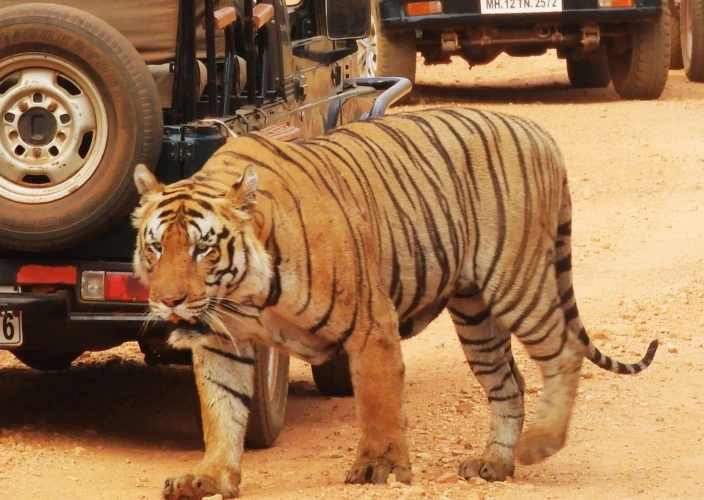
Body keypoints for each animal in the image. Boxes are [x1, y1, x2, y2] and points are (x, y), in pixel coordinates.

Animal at [131, 107, 659, 500]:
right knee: (510, 381)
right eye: (156, 247)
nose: (169, 300)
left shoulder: (370, 322)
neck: (244, 297)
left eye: (202, 248)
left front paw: (379, 469)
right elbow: (221, 409)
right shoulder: (222, 341)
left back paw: (540, 445)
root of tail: (539, 133)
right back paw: (495, 462)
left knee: (564, 351)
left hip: (516, 282)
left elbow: (377, 399)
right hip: (476, 314)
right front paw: (209, 476)